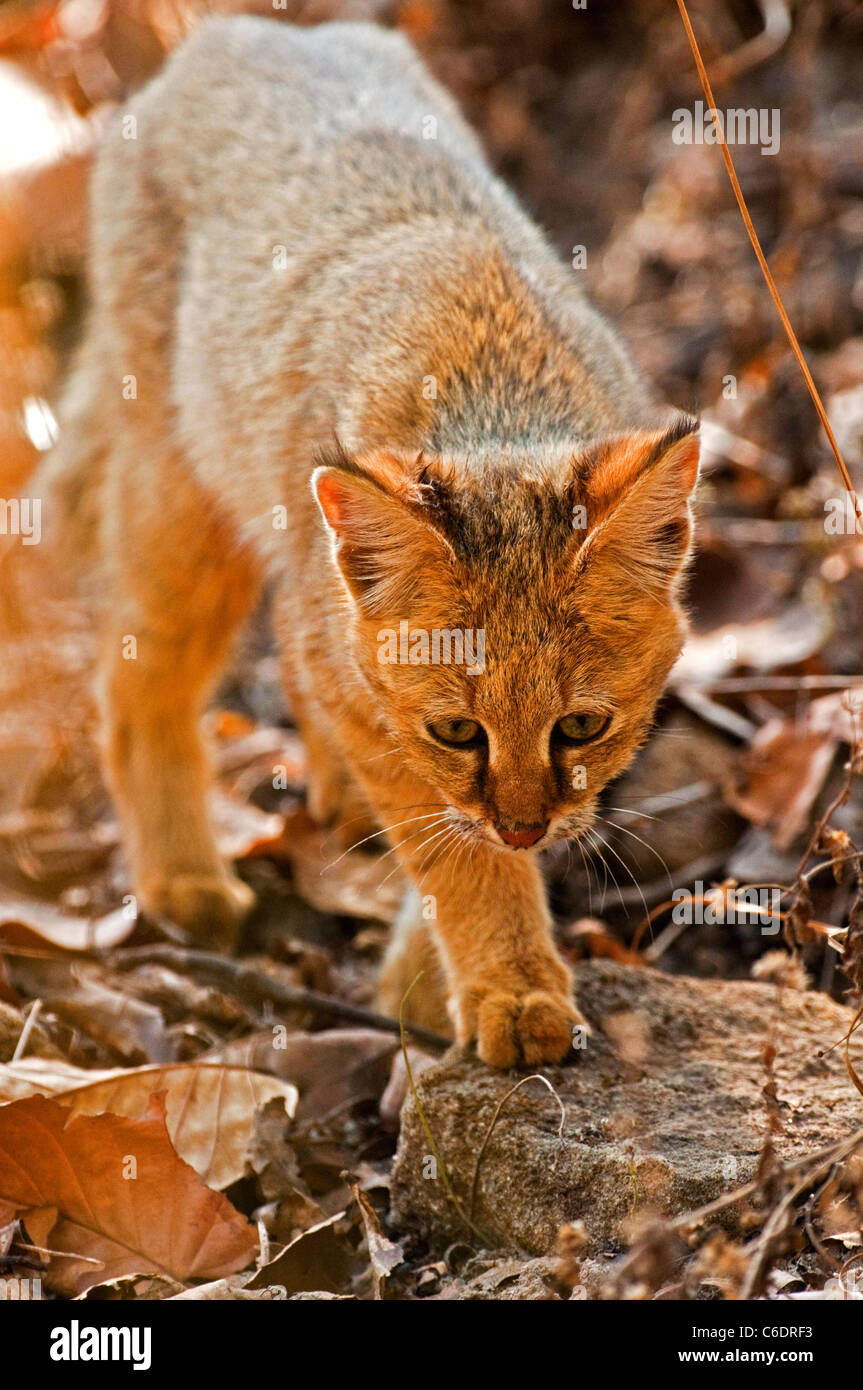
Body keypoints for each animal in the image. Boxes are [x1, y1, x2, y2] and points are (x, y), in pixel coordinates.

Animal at [43, 16, 697, 1067]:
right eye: (458, 732)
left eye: (582, 727)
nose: (528, 829)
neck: (492, 402)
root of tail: (241, 28)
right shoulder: (405, 735)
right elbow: (451, 844)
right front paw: (511, 988)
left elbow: (436, 821)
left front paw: (430, 974)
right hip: (181, 503)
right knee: (136, 684)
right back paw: (184, 880)